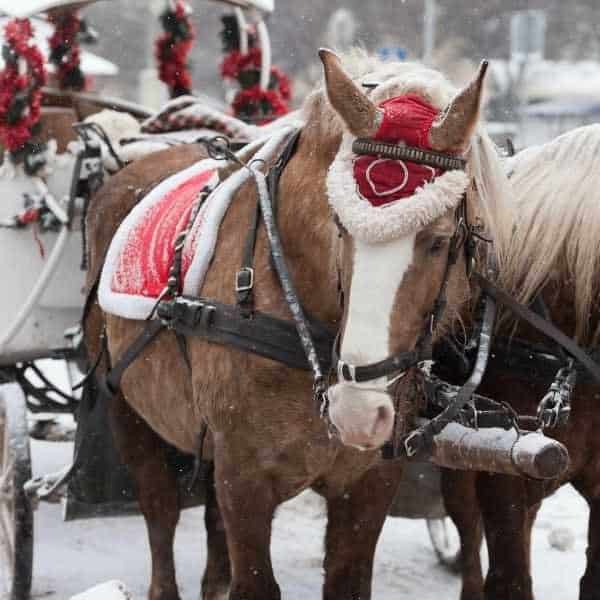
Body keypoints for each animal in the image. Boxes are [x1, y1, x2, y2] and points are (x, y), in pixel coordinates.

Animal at [83, 49, 488, 596]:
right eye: (340, 227)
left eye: (440, 241)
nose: (357, 411)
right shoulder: (245, 477)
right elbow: (253, 578)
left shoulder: (368, 480)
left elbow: (345, 578)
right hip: (126, 406)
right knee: (160, 513)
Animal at [326, 51, 600, 600]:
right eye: (341, 228)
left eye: (437, 241)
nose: (357, 412)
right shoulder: (507, 479)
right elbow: (507, 576)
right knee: (470, 536)